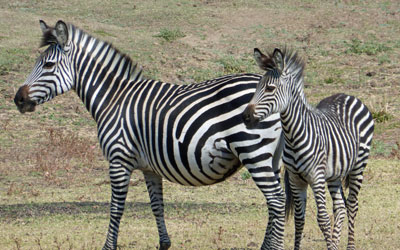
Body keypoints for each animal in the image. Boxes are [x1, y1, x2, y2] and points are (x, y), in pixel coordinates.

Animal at [13, 20, 288, 249]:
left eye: (48, 65)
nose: (18, 99)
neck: (114, 99)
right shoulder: (149, 167)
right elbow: (157, 206)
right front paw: (164, 244)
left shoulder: (119, 159)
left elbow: (116, 208)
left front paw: (108, 246)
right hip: (271, 157)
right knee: (277, 202)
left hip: (254, 151)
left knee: (276, 201)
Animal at [244, 47, 376, 250]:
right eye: (257, 86)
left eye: (270, 88)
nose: (246, 117)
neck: (293, 136)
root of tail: (348, 95)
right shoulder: (296, 180)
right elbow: (299, 220)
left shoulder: (316, 177)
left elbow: (323, 219)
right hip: (335, 173)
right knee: (340, 208)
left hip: (358, 165)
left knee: (352, 206)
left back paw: (350, 245)